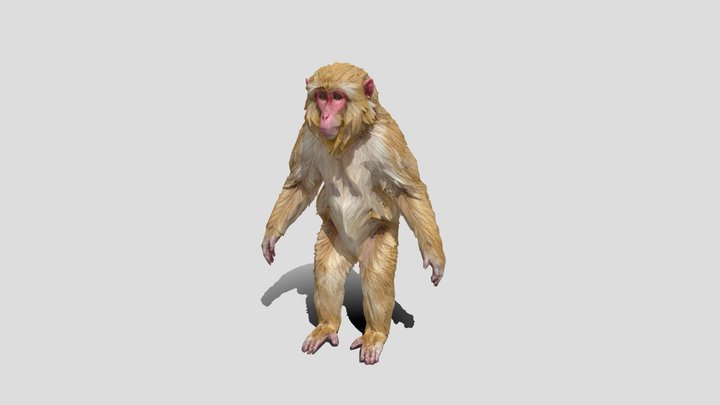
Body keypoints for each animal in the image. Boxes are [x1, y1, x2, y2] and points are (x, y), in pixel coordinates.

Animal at [261, 63, 445, 365]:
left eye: (337, 97)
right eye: (321, 96)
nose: (325, 115)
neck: (348, 140)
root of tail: (354, 252)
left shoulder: (387, 138)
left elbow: (409, 190)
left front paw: (434, 257)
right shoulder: (307, 134)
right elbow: (301, 184)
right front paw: (271, 236)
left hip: (379, 236)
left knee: (376, 275)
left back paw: (375, 335)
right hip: (333, 235)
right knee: (328, 269)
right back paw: (326, 327)